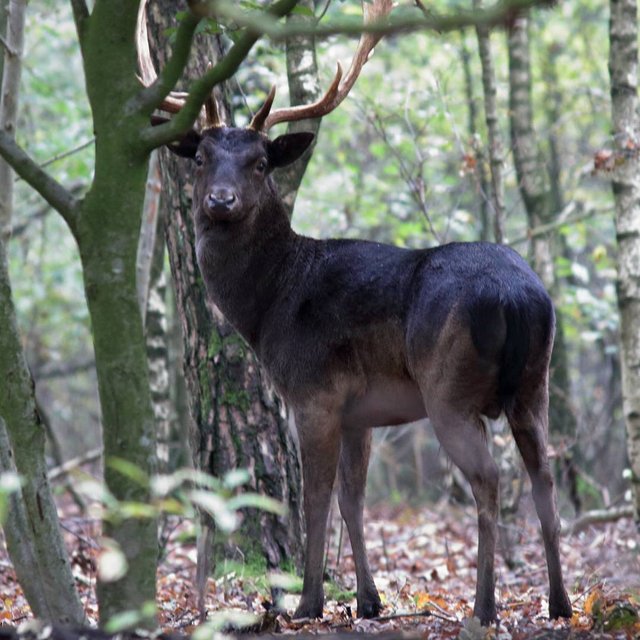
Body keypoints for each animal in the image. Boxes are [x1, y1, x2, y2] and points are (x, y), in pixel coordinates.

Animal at [142, 0, 572, 628]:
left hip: (449, 388)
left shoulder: (313, 391)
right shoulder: (359, 412)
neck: (269, 305)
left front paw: (307, 602)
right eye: (200, 156)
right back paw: (560, 604)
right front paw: (369, 599)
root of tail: (520, 297)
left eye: (260, 162)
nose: (220, 200)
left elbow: (315, 498)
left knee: (490, 478)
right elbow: (353, 497)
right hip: (535, 382)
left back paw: (484, 607)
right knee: (544, 478)